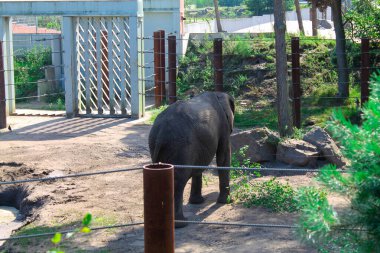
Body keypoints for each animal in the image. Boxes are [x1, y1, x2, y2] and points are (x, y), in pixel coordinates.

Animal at [148, 91, 235, 227]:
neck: (218, 94)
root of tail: (161, 133)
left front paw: (197, 202)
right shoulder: (224, 127)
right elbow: (223, 156)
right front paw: (226, 201)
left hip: (157, 145)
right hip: (180, 147)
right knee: (178, 181)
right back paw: (181, 224)